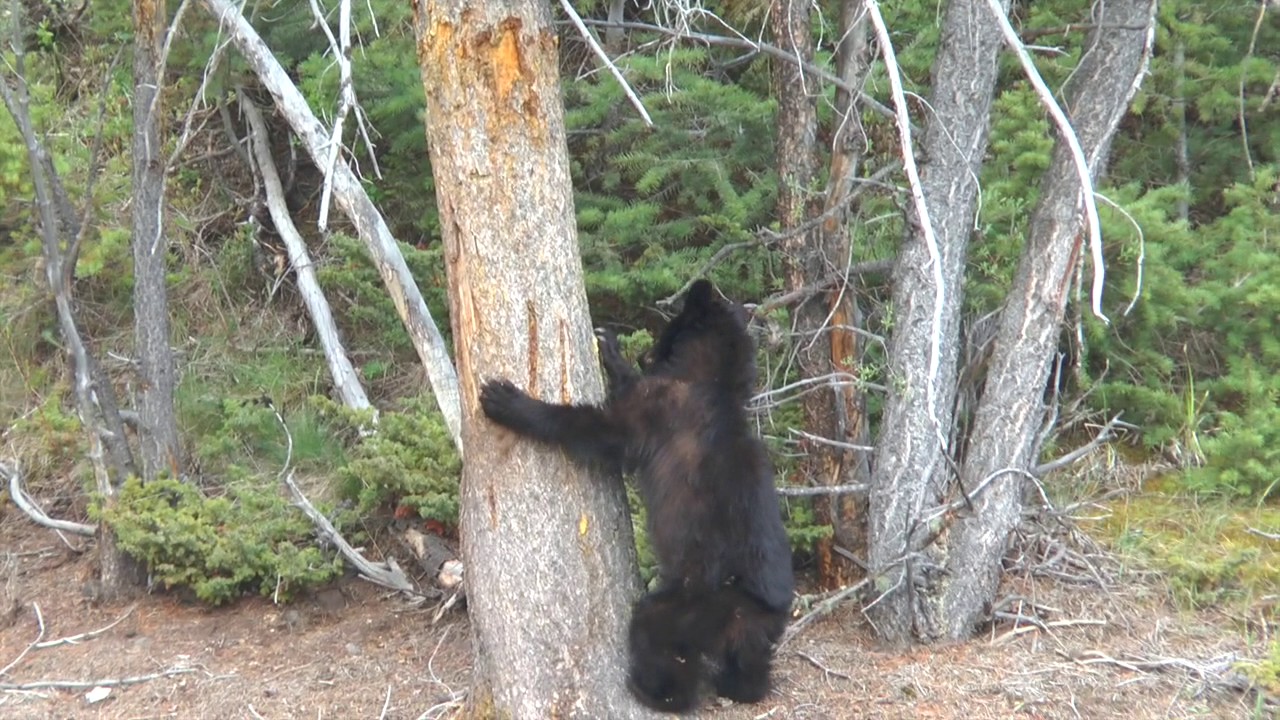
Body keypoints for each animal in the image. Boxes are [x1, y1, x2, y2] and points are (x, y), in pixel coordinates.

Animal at [479, 279, 794, 712]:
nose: (646, 352)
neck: (713, 383)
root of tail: (764, 610)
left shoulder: (661, 408)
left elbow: (601, 429)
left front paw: (505, 400)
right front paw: (608, 345)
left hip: (696, 604)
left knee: (658, 635)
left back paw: (654, 691)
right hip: (749, 631)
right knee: (748, 668)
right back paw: (739, 686)